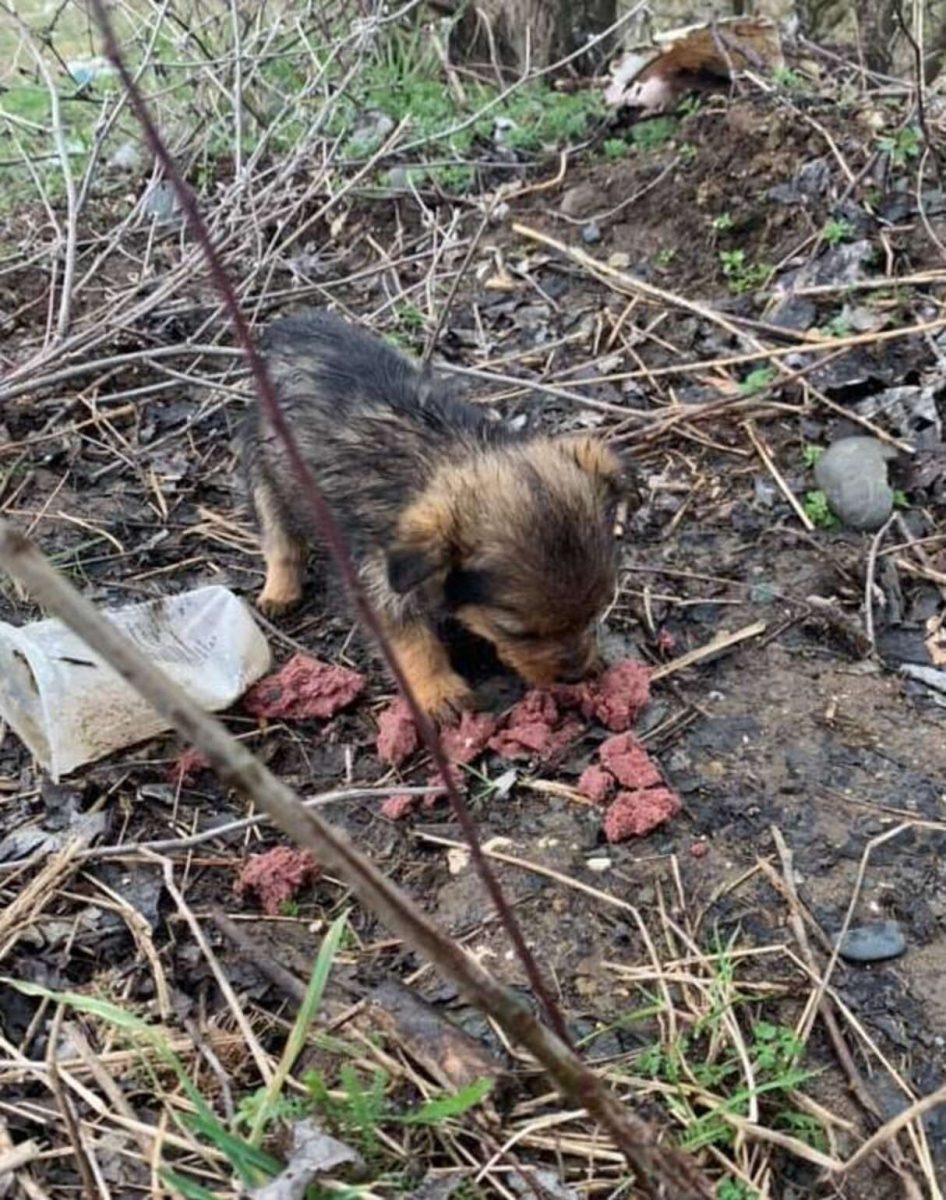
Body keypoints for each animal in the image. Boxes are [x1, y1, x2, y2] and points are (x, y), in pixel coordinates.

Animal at [242, 312, 633, 720]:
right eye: (518, 632)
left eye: (596, 612)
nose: (574, 676)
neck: (451, 455)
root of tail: (295, 325)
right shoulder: (379, 582)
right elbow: (412, 641)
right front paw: (439, 691)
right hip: (263, 472)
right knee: (281, 541)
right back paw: (279, 590)